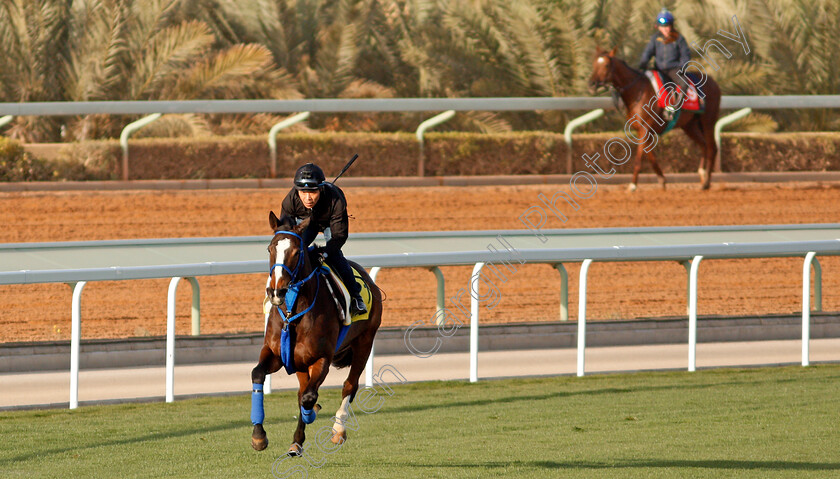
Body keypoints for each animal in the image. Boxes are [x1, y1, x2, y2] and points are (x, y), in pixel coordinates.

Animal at [249, 212, 380, 456]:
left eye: (296, 251)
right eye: (270, 248)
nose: (276, 291)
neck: (292, 314)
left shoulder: (321, 358)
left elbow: (309, 397)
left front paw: (313, 413)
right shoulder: (276, 353)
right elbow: (258, 375)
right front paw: (259, 436)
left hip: (365, 342)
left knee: (349, 385)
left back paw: (338, 430)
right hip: (300, 362)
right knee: (303, 390)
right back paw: (297, 440)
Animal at [592, 47, 720, 190]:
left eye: (606, 65)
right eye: (594, 64)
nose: (591, 84)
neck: (638, 91)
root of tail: (714, 83)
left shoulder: (645, 129)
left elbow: (639, 158)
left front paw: (633, 185)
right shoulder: (642, 131)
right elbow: (650, 157)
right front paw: (662, 180)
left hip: (708, 120)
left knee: (712, 148)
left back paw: (706, 182)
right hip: (689, 125)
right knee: (703, 145)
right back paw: (702, 175)